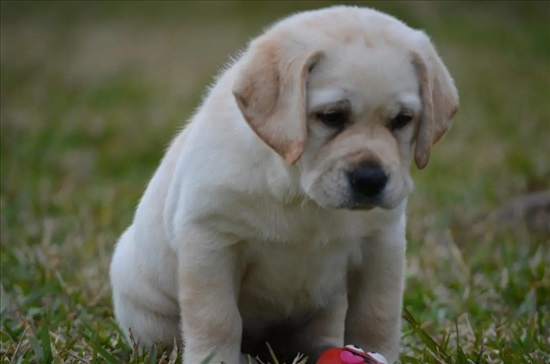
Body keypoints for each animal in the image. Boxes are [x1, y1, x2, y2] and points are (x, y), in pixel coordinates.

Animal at [110, 5, 460, 364]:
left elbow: (376, 314)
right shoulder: (210, 239)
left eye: (402, 120)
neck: (300, 192)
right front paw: (216, 358)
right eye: (332, 116)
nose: (371, 179)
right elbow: (217, 317)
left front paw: (375, 352)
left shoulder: (381, 245)